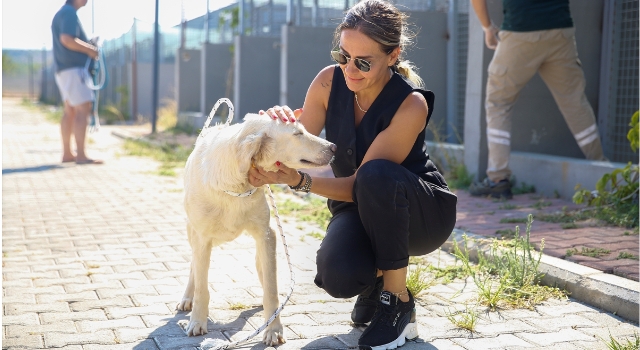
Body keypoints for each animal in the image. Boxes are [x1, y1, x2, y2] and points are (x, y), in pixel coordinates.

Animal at [175, 113, 336, 346]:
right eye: (297, 134)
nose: (334, 147)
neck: (235, 184)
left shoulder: (267, 234)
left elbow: (271, 290)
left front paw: (273, 329)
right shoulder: (202, 238)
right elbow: (202, 288)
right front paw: (197, 321)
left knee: (262, 270)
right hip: (192, 233)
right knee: (194, 268)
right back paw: (187, 297)